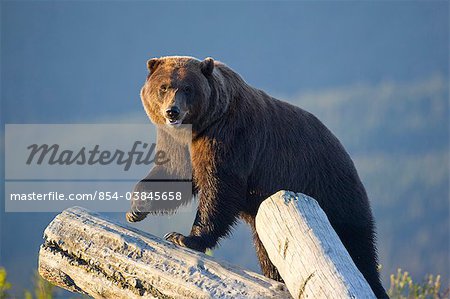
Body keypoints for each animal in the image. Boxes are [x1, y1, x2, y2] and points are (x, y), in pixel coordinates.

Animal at [125, 55, 386, 298]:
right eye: (164, 87)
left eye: (188, 88)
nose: (172, 111)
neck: (200, 127)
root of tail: (349, 161)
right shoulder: (179, 143)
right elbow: (174, 174)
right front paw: (136, 209)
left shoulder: (230, 137)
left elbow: (219, 186)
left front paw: (184, 237)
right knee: (270, 254)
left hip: (332, 193)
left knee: (357, 250)